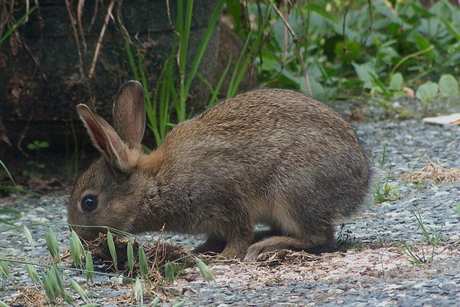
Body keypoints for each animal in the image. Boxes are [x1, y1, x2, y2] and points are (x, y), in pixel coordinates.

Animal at [70, 80, 376, 262]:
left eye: (89, 202)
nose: (77, 235)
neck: (155, 182)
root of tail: (360, 182)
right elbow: (214, 237)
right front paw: (199, 251)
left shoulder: (227, 198)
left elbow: (238, 233)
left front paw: (223, 256)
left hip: (293, 190)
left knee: (319, 237)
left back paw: (265, 245)